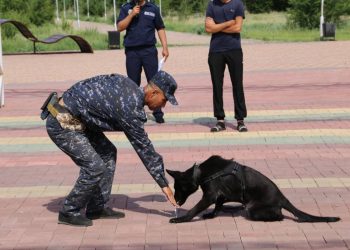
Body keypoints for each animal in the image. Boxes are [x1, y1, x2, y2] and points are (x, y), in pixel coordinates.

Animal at [166, 155, 340, 224]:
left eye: (177, 187)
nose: (176, 202)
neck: (201, 172)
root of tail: (283, 198)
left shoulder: (210, 196)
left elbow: (194, 210)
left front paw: (181, 219)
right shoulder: (220, 196)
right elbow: (217, 207)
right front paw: (211, 215)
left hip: (253, 208)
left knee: (279, 216)